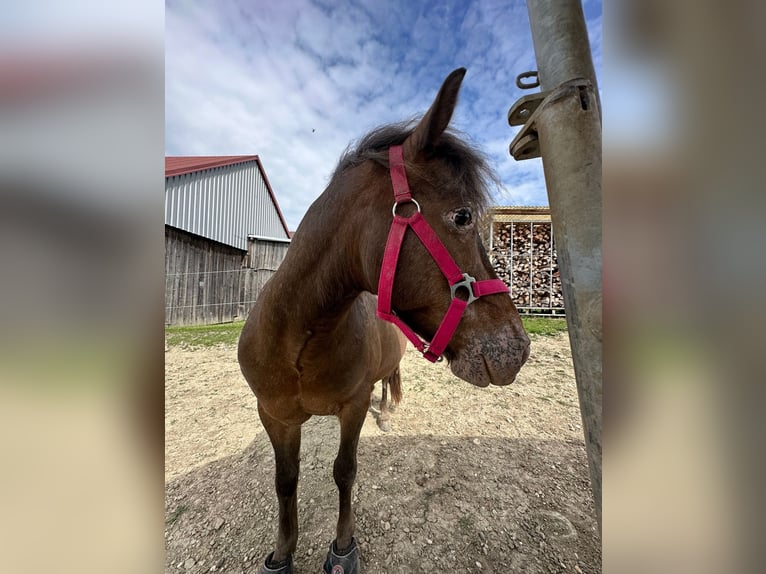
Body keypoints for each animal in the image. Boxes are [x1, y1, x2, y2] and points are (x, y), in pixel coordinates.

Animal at [238, 68, 528, 574]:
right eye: (462, 216)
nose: (517, 346)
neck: (298, 340)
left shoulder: (352, 408)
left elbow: (344, 472)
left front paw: (342, 547)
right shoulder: (274, 415)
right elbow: (285, 481)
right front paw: (283, 552)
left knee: (388, 380)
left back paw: (389, 412)